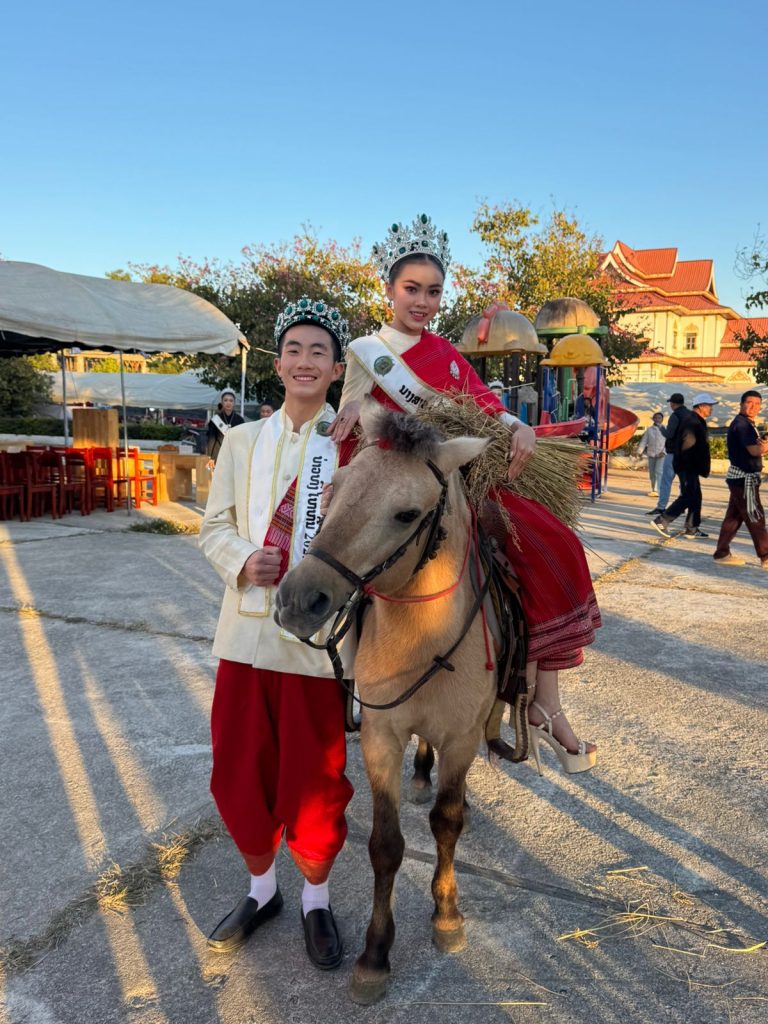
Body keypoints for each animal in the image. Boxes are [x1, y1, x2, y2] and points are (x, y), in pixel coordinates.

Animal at [275, 399, 522, 1004]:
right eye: (333, 489)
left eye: (407, 514)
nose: (297, 599)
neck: (423, 636)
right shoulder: (381, 737)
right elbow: (386, 845)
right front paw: (374, 956)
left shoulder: (461, 739)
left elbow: (448, 823)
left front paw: (447, 916)